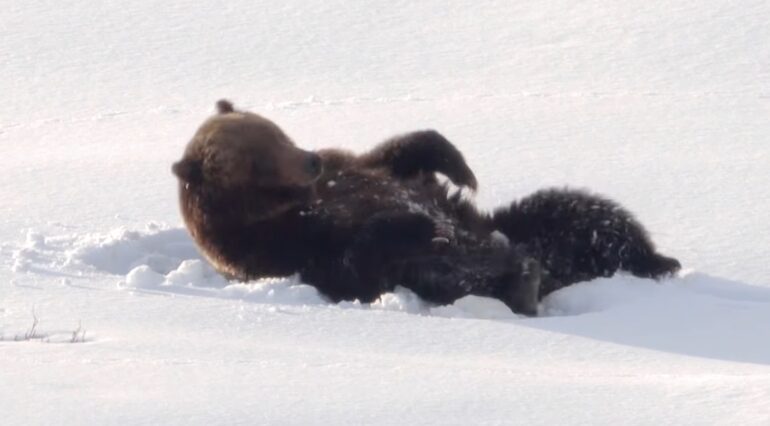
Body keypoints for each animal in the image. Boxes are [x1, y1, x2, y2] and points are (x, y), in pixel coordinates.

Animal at [172, 100, 680, 315]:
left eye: (278, 132)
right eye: (257, 158)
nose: (309, 161)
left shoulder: (357, 167)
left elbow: (402, 152)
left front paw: (462, 170)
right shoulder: (282, 247)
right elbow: (356, 263)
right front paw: (416, 223)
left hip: (527, 227)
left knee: (585, 214)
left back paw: (656, 260)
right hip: (452, 269)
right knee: (464, 272)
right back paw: (523, 282)